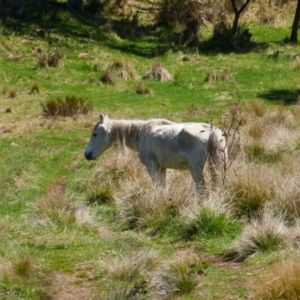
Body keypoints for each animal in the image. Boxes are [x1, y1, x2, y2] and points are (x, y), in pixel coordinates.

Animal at [84, 113, 227, 193]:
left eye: (95, 134)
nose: (87, 154)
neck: (143, 133)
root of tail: (211, 131)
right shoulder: (162, 167)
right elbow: (163, 186)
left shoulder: (151, 166)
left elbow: (157, 185)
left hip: (196, 169)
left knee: (201, 187)